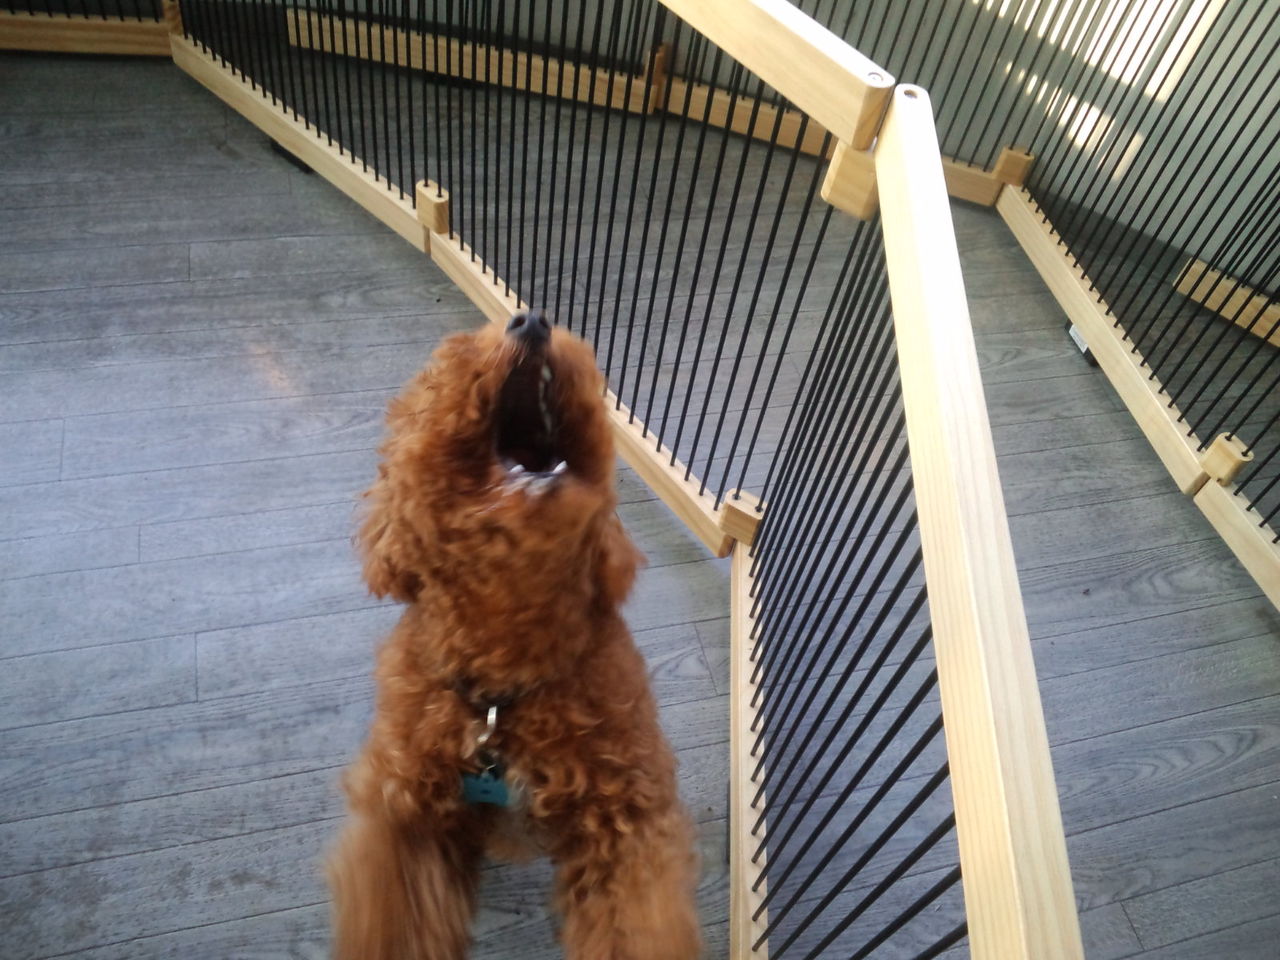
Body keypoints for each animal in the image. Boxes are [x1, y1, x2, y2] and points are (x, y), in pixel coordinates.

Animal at [327, 311, 702, 960]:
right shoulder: (405, 811)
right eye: (453, 361)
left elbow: (638, 924)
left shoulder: (625, 814)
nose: (530, 320)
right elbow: (393, 923)